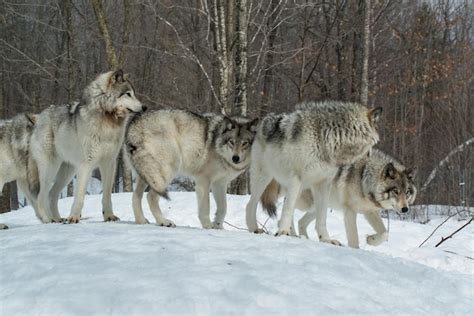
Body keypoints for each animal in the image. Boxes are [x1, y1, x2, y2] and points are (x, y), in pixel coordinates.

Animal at [30, 69, 144, 222]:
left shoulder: (109, 163)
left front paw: (109, 216)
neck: (107, 118)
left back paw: (58, 219)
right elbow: (79, 195)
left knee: (51, 195)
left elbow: (107, 195)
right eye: (128, 94)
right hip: (50, 169)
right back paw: (48, 220)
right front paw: (73, 217)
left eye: (133, 93)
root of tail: (39, 118)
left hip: (67, 172)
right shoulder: (87, 164)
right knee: (40, 196)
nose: (144, 107)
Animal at [244, 100, 382, 236]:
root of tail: (264, 121)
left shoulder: (323, 184)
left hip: (298, 188)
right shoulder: (296, 178)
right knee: (251, 204)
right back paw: (255, 228)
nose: (369, 161)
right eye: (370, 150)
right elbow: (287, 209)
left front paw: (326, 239)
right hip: (265, 178)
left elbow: (322, 217)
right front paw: (282, 232)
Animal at [258, 149, 416, 248]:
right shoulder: (350, 212)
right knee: (285, 209)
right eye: (395, 191)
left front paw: (370, 240)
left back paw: (303, 238)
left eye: (407, 192)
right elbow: (354, 239)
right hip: (305, 202)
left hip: (318, 206)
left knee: (301, 221)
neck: (364, 178)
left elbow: (384, 233)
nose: (405, 209)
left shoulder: (369, 211)